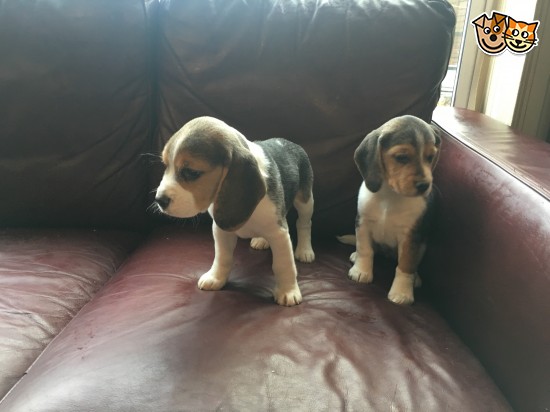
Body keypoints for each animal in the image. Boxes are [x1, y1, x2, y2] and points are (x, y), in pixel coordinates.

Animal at [155, 116, 316, 306]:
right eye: (165, 165)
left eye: (192, 172)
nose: (159, 200)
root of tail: (289, 141)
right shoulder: (221, 230)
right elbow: (222, 257)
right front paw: (216, 278)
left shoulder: (279, 233)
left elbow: (283, 265)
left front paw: (288, 291)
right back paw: (261, 240)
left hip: (305, 200)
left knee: (304, 223)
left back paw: (304, 250)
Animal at [338, 114, 442, 304]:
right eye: (402, 157)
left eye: (430, 157)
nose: (424, 186)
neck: (390, 195)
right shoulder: (363, 224)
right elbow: (365, 250)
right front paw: (361, 271)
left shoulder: (410, 237)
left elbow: (405, 266)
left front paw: (402, 292)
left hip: (422, 244)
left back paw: (415, 278)